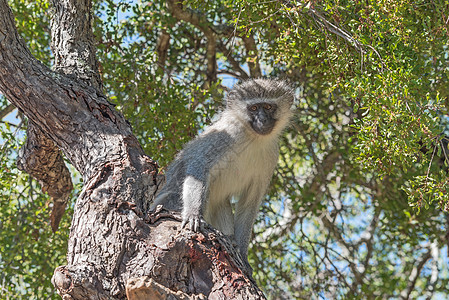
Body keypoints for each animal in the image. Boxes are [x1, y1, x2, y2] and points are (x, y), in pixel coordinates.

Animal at [152, 78, 296, 274]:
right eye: (253, 108)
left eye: (267, 107)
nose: (262, 119)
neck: (253, 137)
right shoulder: (225, 135)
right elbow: (198, 165)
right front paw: (193, 214)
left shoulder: (272, 157)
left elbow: (250, 202)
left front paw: (242, 254)